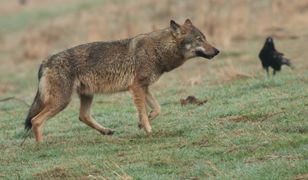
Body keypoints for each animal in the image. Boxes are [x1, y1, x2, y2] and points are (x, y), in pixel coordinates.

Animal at [25, 19, 219, 142]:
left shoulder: (144, 87)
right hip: (61, 102)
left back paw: (106, 131)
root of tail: (45, 61)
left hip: (86, 95)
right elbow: (144, 111)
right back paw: (41, 146)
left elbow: (157, 109)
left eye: (205, 38)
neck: (158, 50)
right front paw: (149, 130)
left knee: (83, 116)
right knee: (36, 121)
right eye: (199, 39)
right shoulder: (137, 87)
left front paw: (142, 123)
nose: (218, 51)